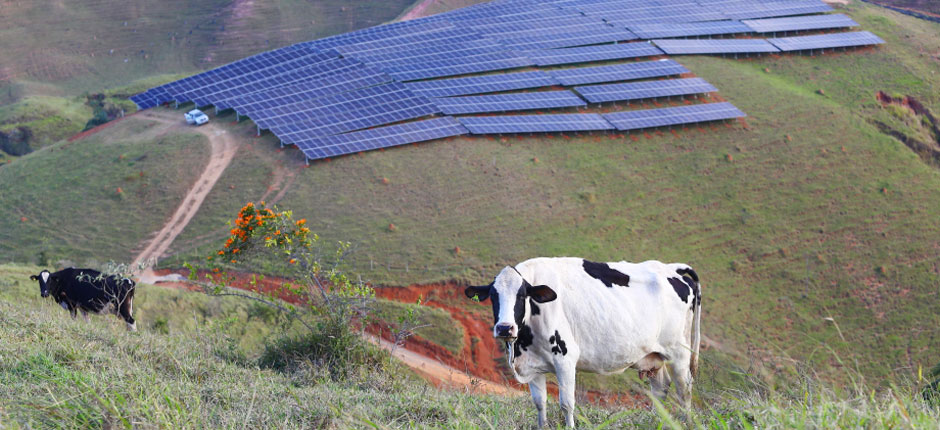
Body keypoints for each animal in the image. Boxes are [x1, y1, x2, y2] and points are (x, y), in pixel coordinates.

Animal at [466, 256, 700, 428]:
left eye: (522, 295)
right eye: (493, 296)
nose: (505, 327)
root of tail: (671, 269)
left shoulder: (565, 360)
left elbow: (567, 404)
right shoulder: (532, 365)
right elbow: (540, 403)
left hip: (679, 352)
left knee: (684, 388)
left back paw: (687, 423)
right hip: (653, 355)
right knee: (660, 387)